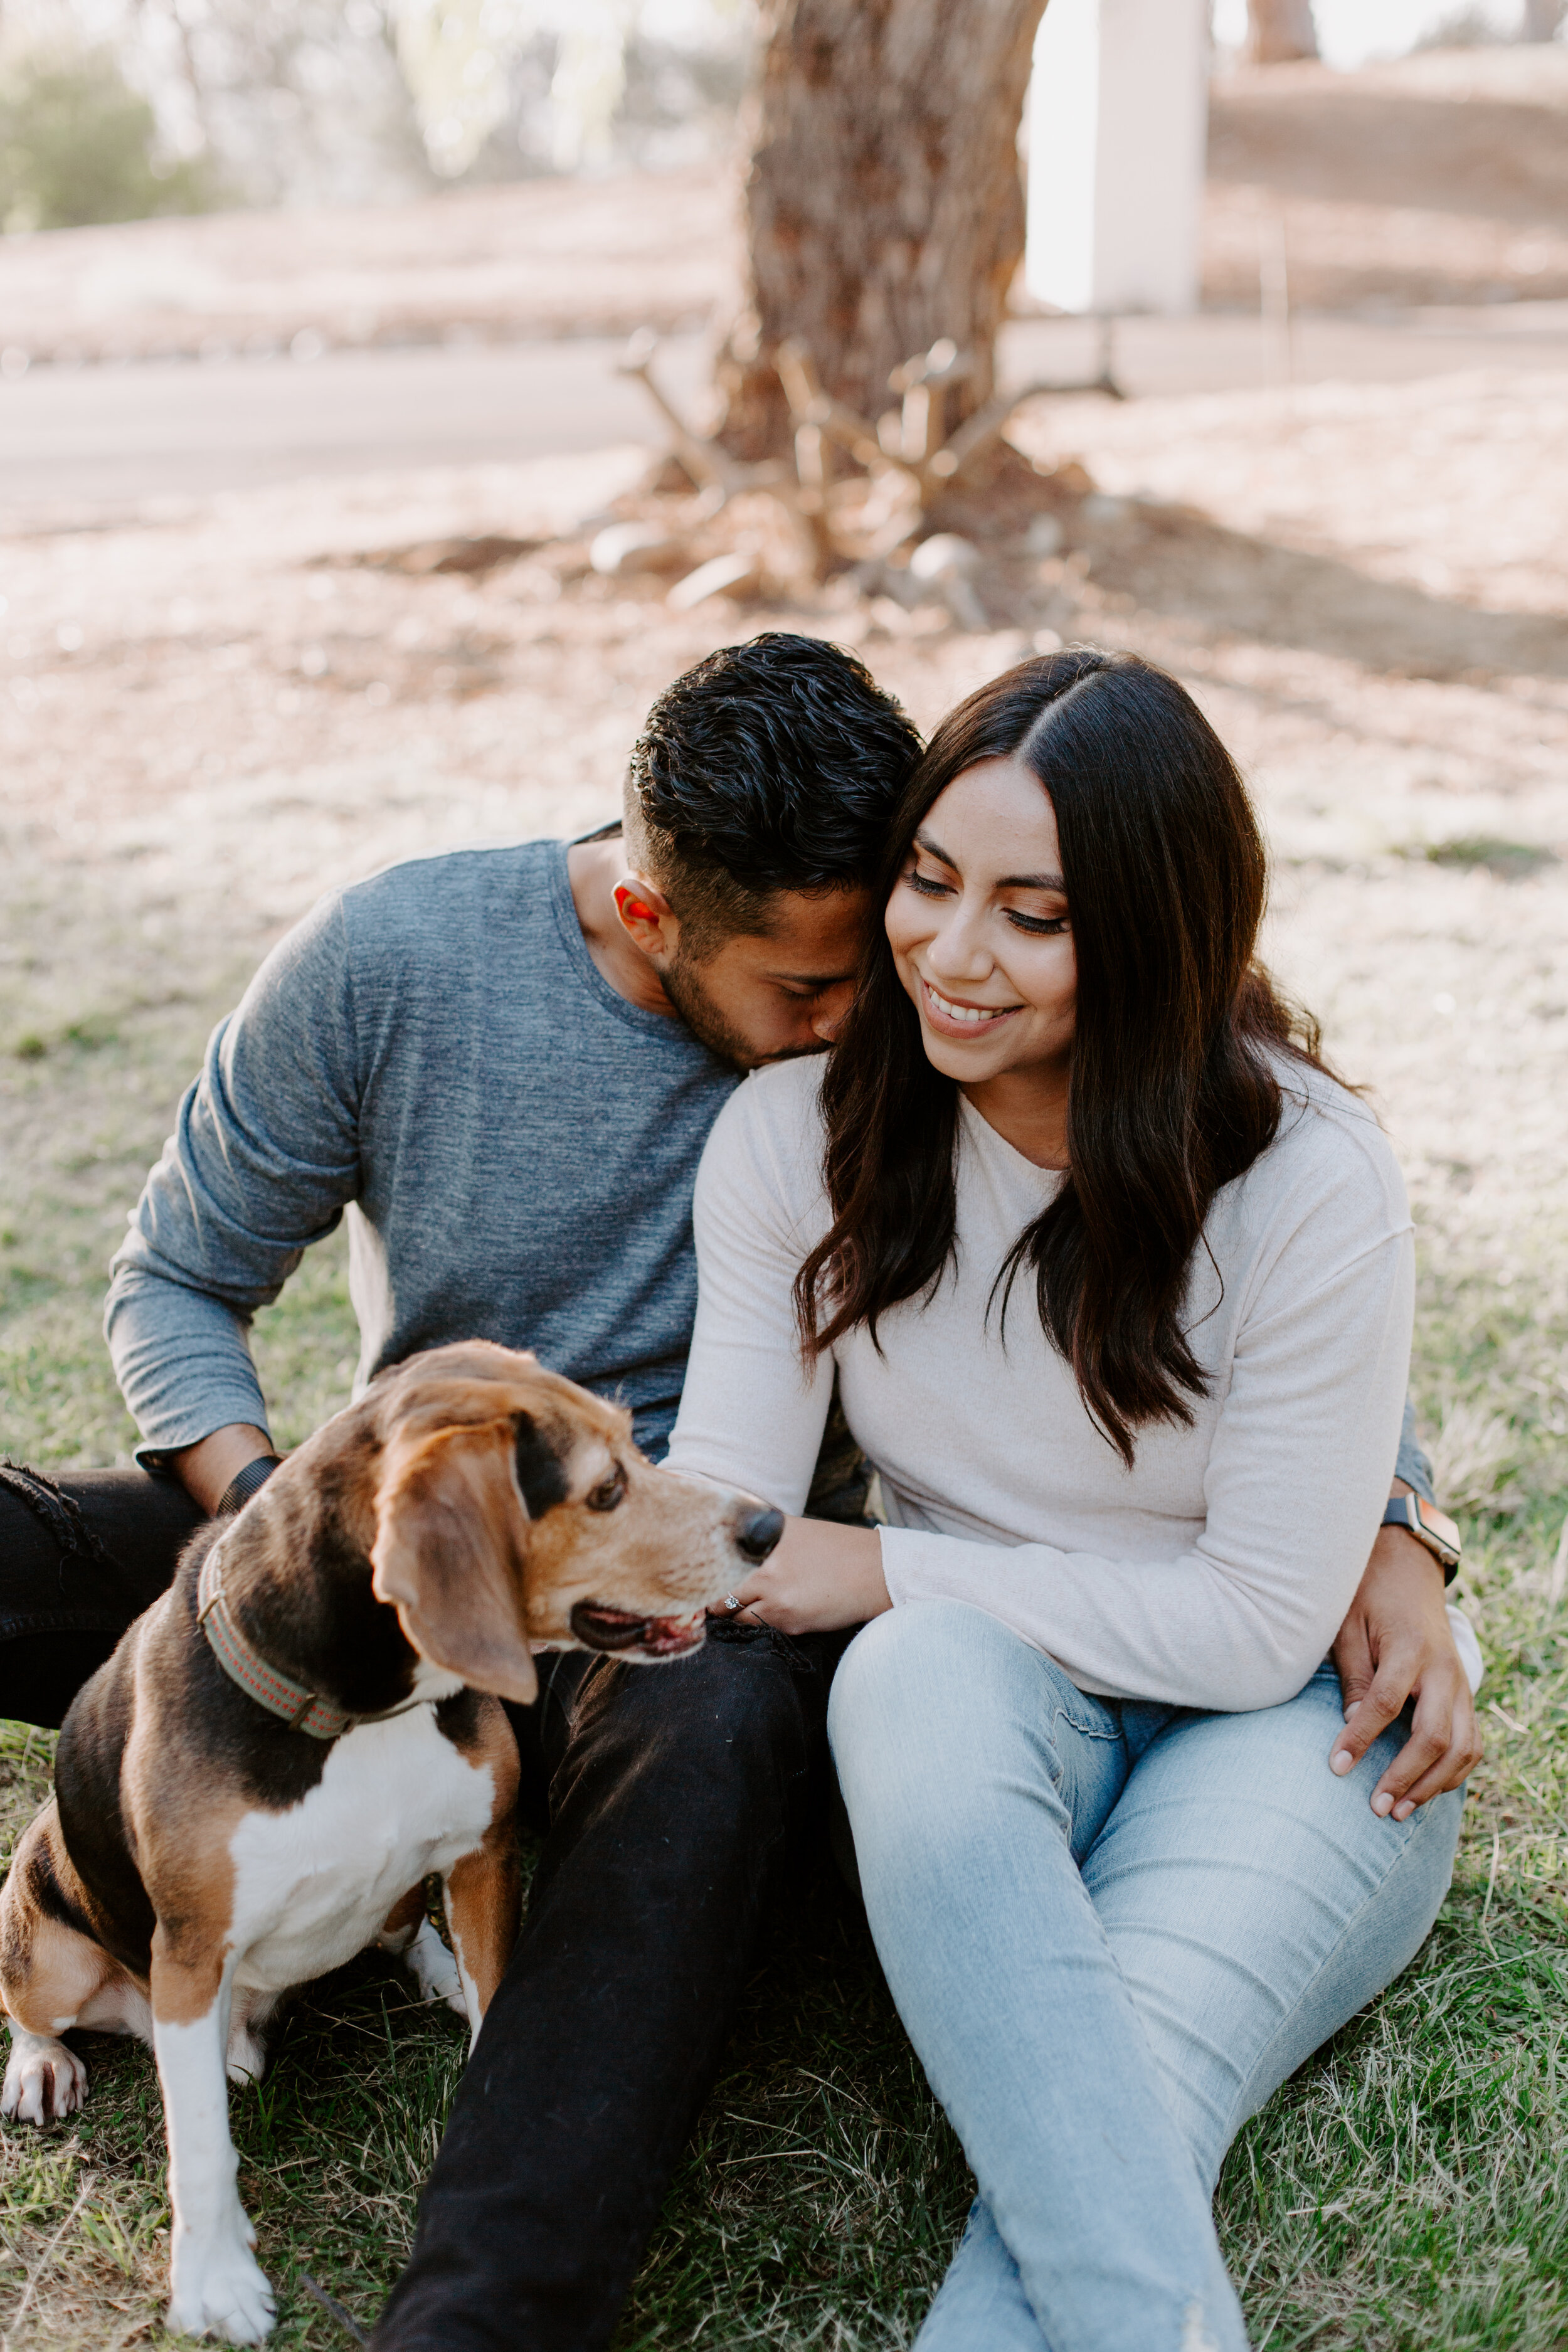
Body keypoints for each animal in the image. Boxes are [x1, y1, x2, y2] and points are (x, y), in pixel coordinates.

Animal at [0, 1355, 785, 2343]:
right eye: (604, 1490)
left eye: (637, 1451)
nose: (770, 1525)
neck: (363, 1709)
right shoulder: (189, 1950)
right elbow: (202, 2142)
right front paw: (215, 2278)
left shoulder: (484, 1856)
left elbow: (496, 2005)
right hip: (57, 1954)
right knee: (39, 2009)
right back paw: (41, 2065)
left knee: (402, 1928)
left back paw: (428, 1968)